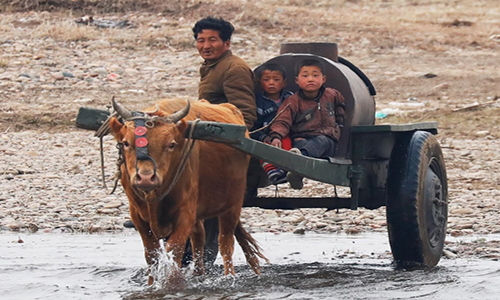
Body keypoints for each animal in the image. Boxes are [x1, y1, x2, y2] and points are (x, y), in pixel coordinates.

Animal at [108, 97, 268, 284]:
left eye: (171, 144)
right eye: (126, 143)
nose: (146, 177)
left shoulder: (185, 213)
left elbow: (174, 250)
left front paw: (172, 283)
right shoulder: (137, 215)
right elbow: (152, 254)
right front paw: (151, 284)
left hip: (232, 205)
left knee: (226, 243)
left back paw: (229, 276)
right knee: (199, 239)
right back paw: (199, 274)